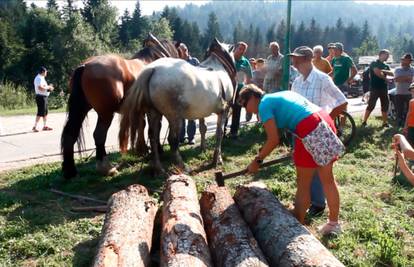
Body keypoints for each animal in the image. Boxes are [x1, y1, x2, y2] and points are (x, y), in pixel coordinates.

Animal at [61, 34, 180, 180]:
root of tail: (85, 66)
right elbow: (154, 128)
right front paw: (157, 149)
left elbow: (142, 126)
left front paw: (143, 149)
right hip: (106, 113)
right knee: (99, 135)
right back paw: (106, 167)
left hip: (80, 109)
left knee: (70, 134)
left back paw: (70, 171)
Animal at [119, 38, 236, 175]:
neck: (217, 67)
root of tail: (153, 69)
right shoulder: (223, 111)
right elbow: (219, 133)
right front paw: (217, 159)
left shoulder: (202, 112)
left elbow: (203, 128)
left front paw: (203, 148)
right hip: (174, 117)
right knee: (172, 140)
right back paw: (182, 166)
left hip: (154, 113)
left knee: (153, 137)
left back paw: (159, 168)